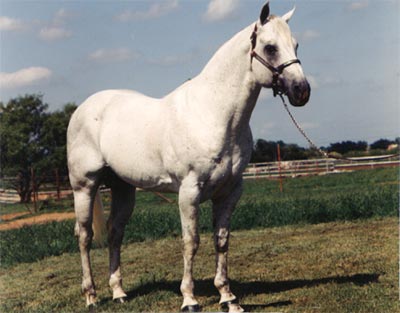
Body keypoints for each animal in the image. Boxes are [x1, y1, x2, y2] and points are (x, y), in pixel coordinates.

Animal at [66, 1, 310, 310]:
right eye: (270, 48)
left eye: (296, 44)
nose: (302, 91)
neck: (212, 113)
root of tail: (83, 108)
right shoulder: (189, 192)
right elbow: (190, 242)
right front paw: (189, 299)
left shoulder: (230, 192)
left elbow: (221, 240)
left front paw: (228, 297)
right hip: (84, 186)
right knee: (84, 236)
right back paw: (92, 297)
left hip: (123, 188)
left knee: (114, 232)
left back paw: (119, 293)